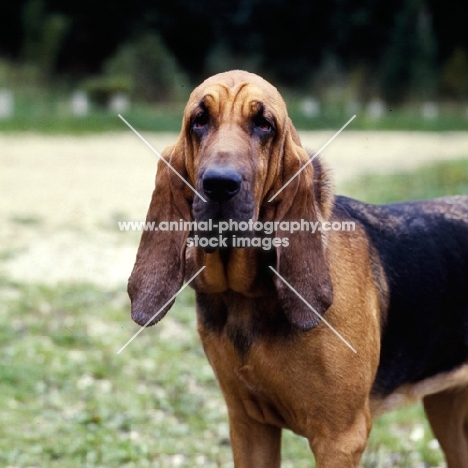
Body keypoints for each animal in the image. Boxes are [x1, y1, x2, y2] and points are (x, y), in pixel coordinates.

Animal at [128, 70, 468, 468]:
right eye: (199, 120)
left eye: (264, 124)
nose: (220, 184)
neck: (246, 296)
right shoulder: (248, 425)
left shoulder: (339, 438)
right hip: (446, 412)